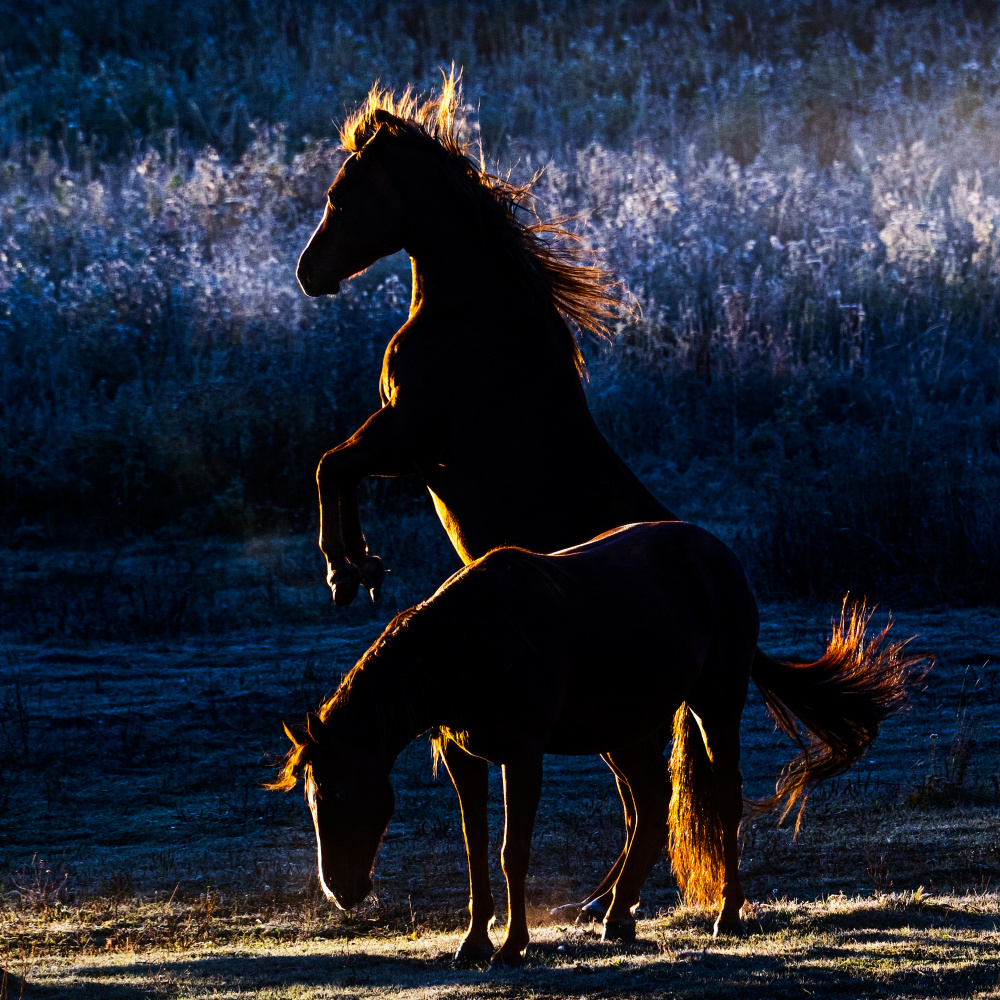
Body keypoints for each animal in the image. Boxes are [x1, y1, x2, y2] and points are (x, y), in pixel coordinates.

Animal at [270, 520, 916, 964]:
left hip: (715, 704)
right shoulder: (463, 759)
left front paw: (512, 948)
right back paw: (617, 915)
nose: (342, 891)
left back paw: (726, 917)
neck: (469, 646)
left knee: (722, 801)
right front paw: (474, 944)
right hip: (622, 733)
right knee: (650, 807)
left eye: (339, 795)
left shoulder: (522, 756)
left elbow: (511, 852)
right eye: (312, 799)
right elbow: (476, 852)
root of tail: (719, 556)